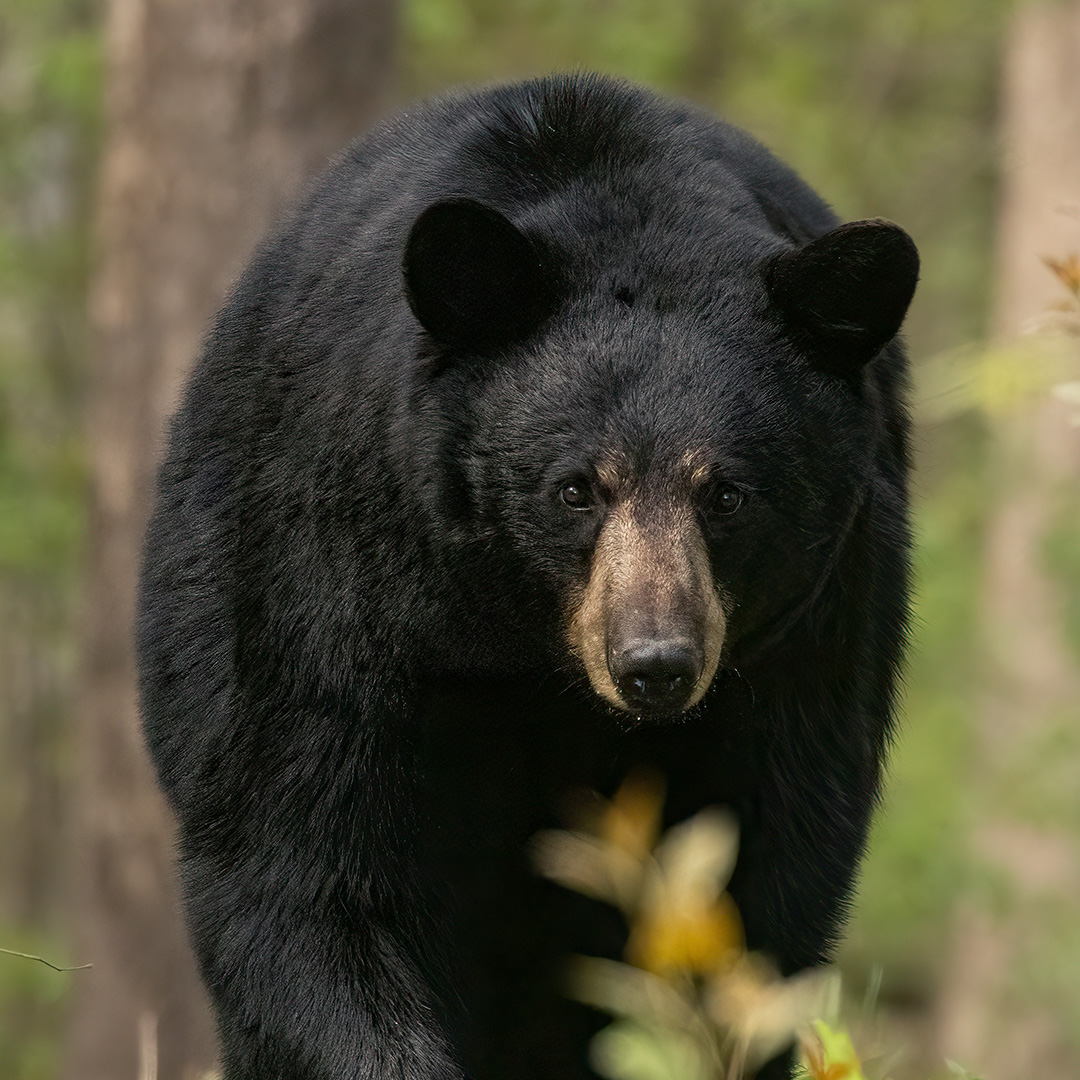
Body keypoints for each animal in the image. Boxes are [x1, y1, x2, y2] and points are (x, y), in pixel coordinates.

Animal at [137, 72, 918, 1080]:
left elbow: (757, 883)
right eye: (576, 487)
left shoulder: (810, 638)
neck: (526, 650)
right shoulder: (336, 561)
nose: (655, 665)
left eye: (727, 494)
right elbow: (301, 862)